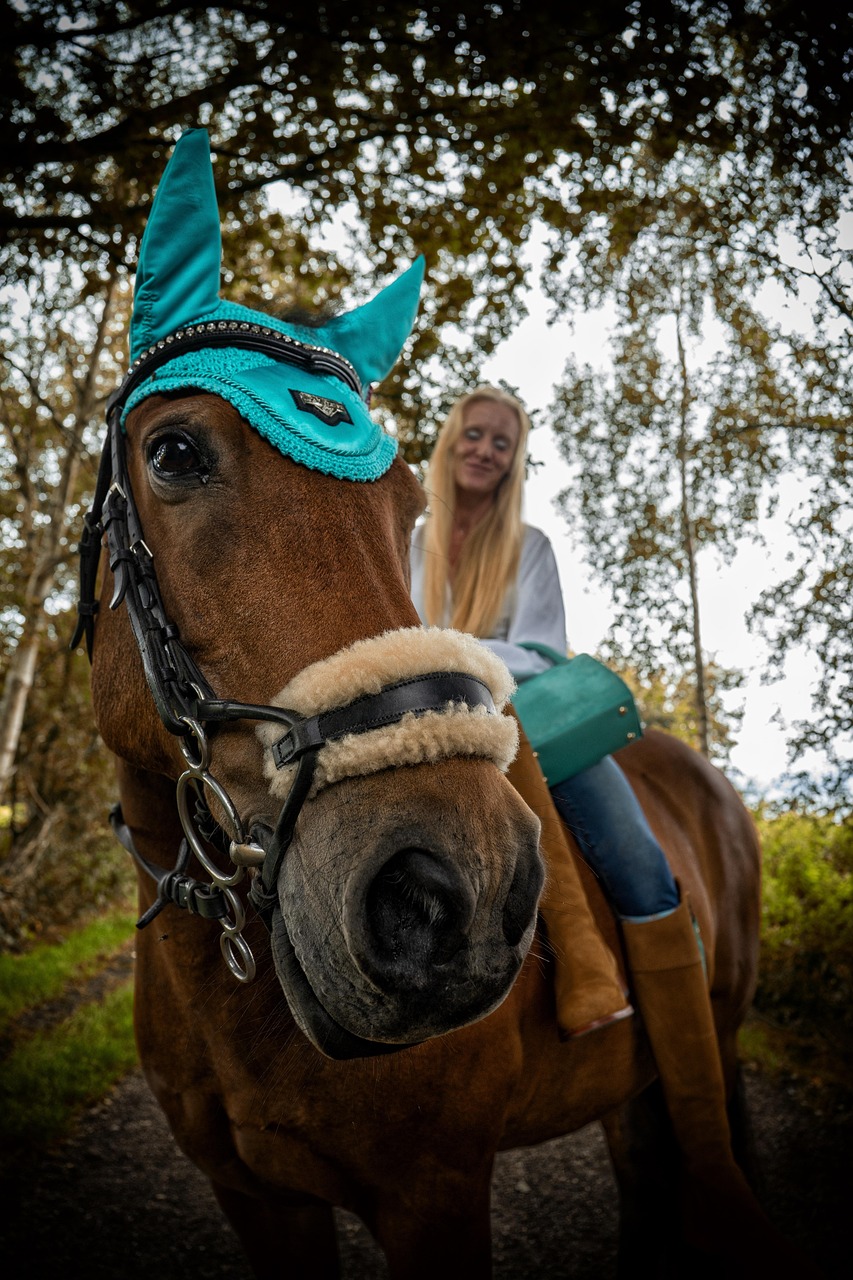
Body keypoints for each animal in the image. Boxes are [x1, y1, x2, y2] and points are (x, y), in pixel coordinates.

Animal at [74, 131, 810, 1279]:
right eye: (175, 452)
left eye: (401, 502)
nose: (444, 894)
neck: (227, 985)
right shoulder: (257, 1201)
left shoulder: (435, 1193)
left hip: (717, 1027)